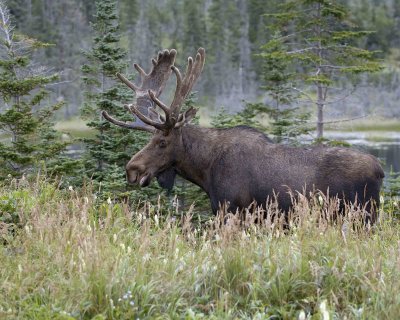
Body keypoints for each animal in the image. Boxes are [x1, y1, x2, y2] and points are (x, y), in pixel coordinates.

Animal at [102, 47, 384, 224]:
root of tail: (381, 170)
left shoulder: (233, 209)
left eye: (162, 142)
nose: (131, 169)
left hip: (361, 215)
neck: (205, 169)